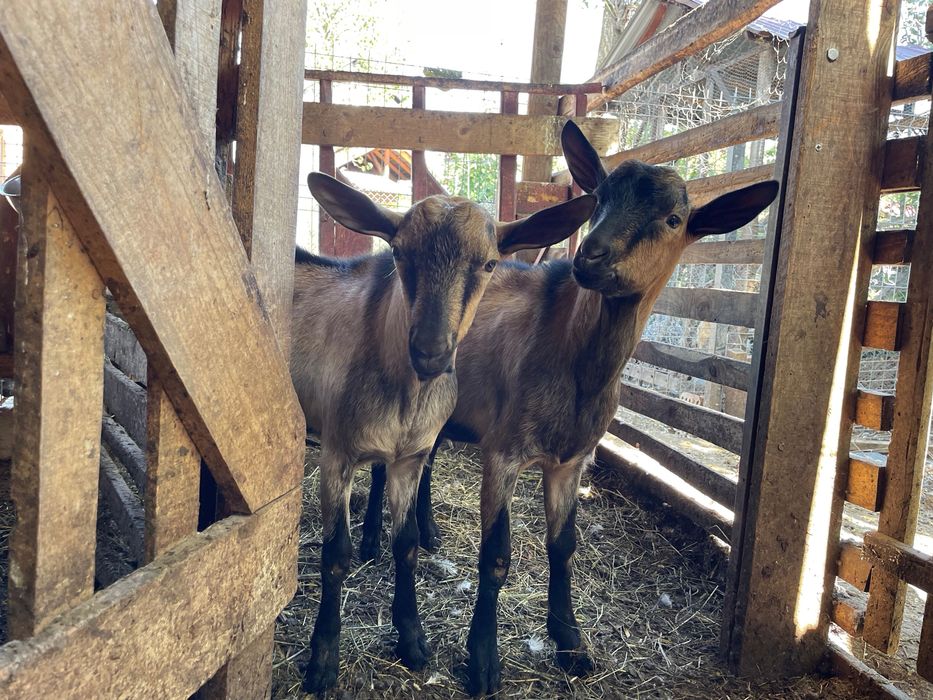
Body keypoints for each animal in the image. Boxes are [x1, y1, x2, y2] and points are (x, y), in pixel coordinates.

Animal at [293, 172, 595, 694]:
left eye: (490, 262)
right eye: (398, 252)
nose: (431, 351)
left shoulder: (410, 457)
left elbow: (408, 543)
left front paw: (413, 641)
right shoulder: (337, 453)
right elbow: (335, 555)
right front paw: (323, 661)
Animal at [361, 122, 778, 695]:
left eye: (673, 219)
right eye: (599, 197)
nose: (592, 256)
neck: (571, 357)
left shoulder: (573, 460)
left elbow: (564, 546)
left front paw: (571, 643)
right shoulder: (504, 450)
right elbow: (496, 556)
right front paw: (483, 661)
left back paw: (427, 533)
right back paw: (371, 541)